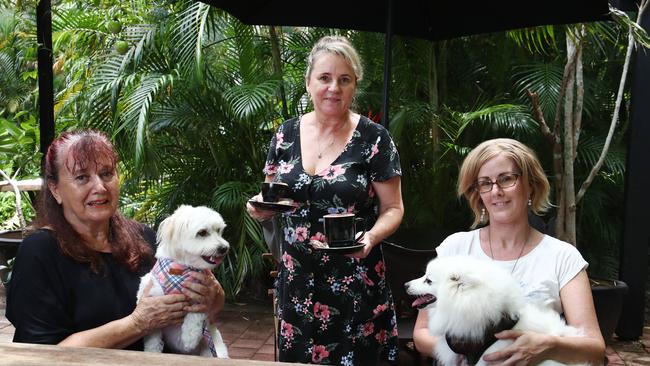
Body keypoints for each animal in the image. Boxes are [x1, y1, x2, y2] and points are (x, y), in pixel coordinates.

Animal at [135, 206, 229, 358]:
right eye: (202, 233)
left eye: (219, 231)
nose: (224, 248)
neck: (181, 270)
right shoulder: (152, 298)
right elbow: (152, 336)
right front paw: (152, 351)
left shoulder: (202, 295)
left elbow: (195, 315)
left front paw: (189, 338)